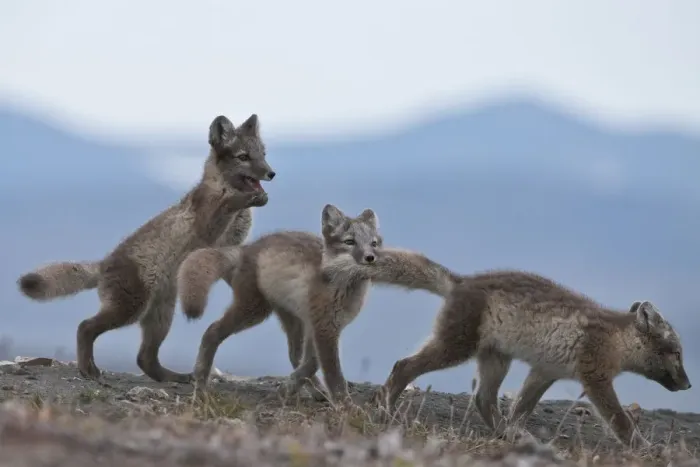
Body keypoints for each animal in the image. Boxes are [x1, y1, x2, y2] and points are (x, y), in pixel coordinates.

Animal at [16, 113, 274, 384]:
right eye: (244, 157)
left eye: (263, 154)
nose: (271, 173)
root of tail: (105, 263)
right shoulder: (205, 226)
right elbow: (226, 205)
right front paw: (244, 199)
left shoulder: (228, 244)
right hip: (129, 310)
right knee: (85, 327)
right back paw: (88, 369)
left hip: (160, 317)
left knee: (145, 359)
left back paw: (174, 377)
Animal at [177, 203, 394, 404]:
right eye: (350, 242)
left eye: (373, 243)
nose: (370, 258)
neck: (342, 288)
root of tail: (247, 249)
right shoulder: (324, 328)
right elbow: (333, 375)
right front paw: (347, 407)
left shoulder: (326, 326)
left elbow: (312, 362)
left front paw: (288, 387)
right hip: (254, 311)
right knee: (211, 331)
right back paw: (201, 384)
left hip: (293, 320)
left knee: (294, 355)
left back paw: (312, 391)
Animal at [322, 252, 692, 448]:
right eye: (676, 353)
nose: (688, 385)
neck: (616, 338)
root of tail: (461, 282)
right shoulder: (595, 376)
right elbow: (620, 420)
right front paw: (645, 448)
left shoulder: (545, 371)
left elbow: (522, 405)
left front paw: (517, 429)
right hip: (457, 347)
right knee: (404, 365)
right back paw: (385, 408)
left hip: (496, 359)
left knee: (483, 398)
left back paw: (507, 434)